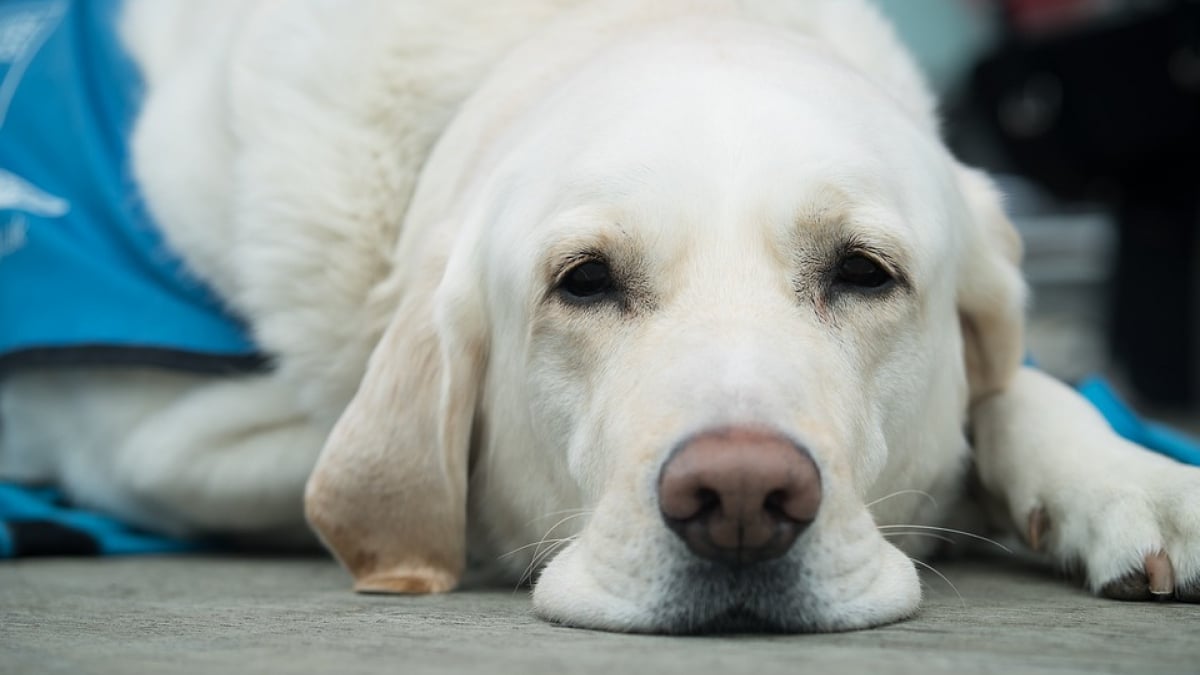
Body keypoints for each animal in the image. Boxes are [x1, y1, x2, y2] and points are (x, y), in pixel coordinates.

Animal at [2, 0, 1200, 629]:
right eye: (583, 281)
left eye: (865, 273)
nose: (740, 497)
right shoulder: (156, 441)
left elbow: (1019, 387)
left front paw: (1127, 479)